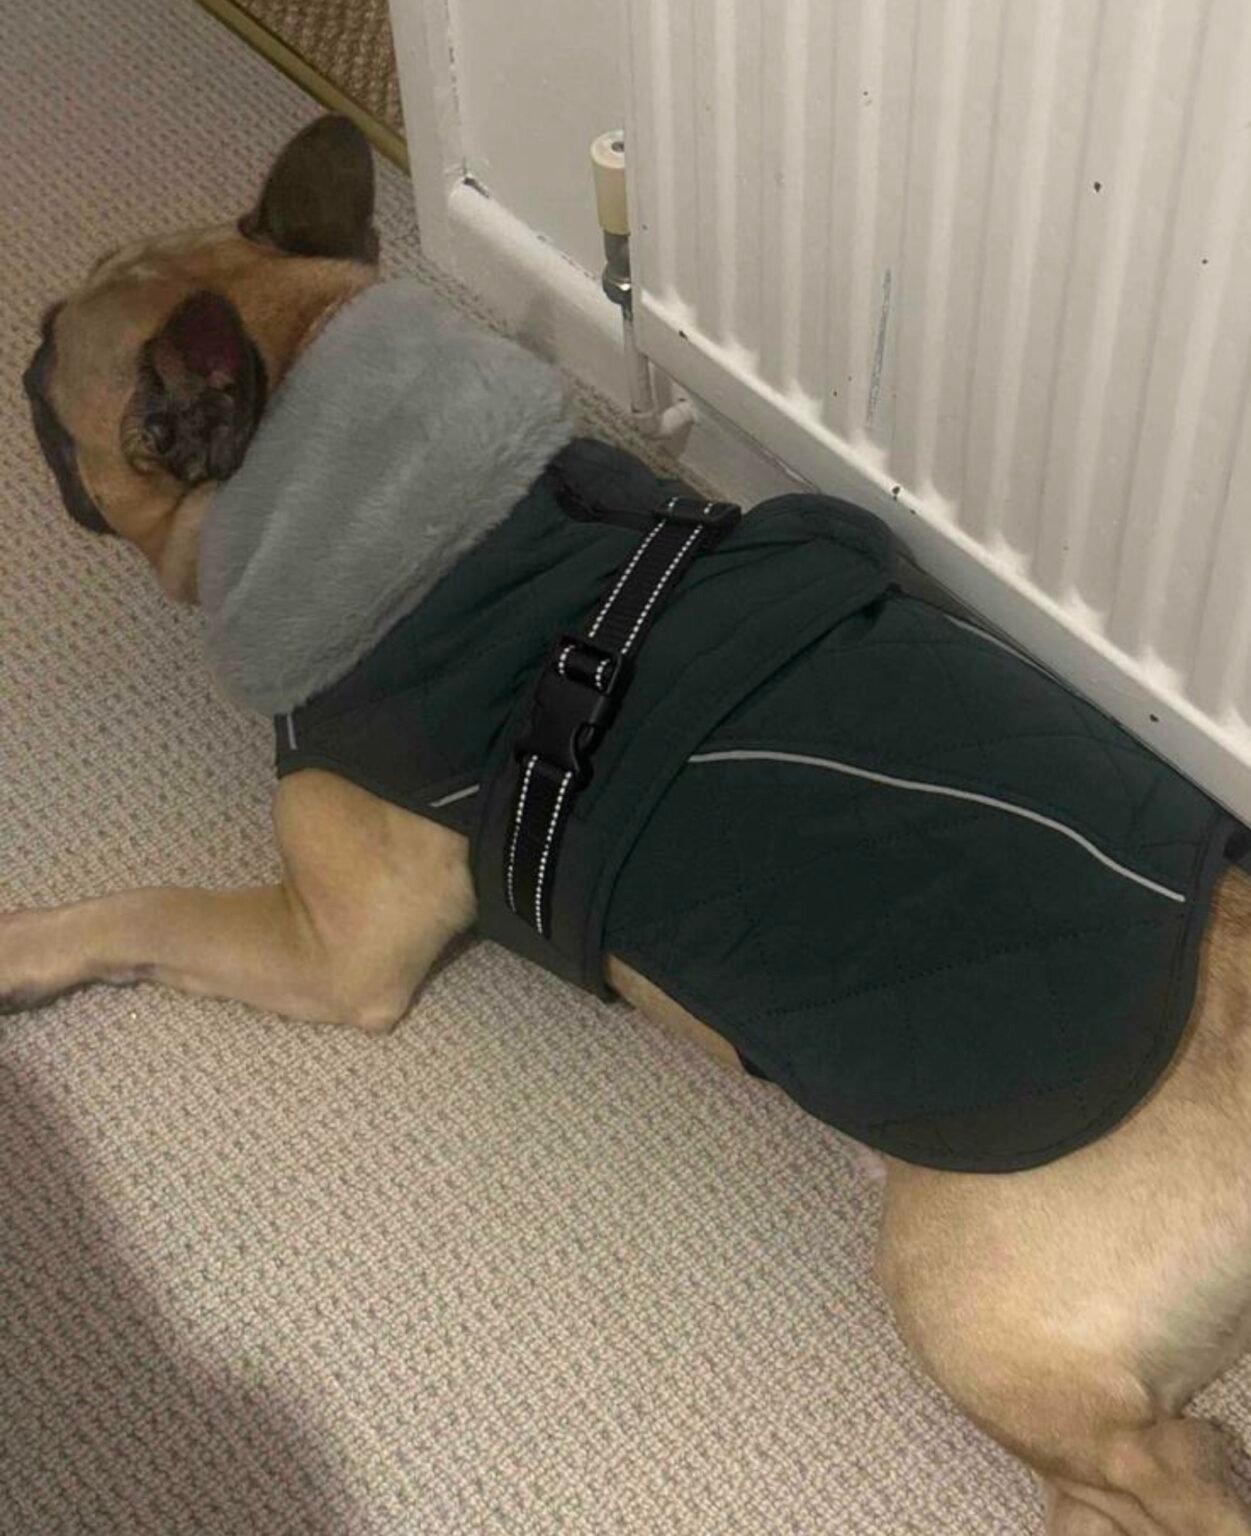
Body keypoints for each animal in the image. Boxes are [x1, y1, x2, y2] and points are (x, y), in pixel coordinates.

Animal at [13, 113, 1251, 1535]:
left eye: (50, 357)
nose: (22, 352)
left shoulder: (332, 950)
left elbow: (140, 906)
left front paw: (23, 948)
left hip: (971, 1297)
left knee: (1174, 1475)